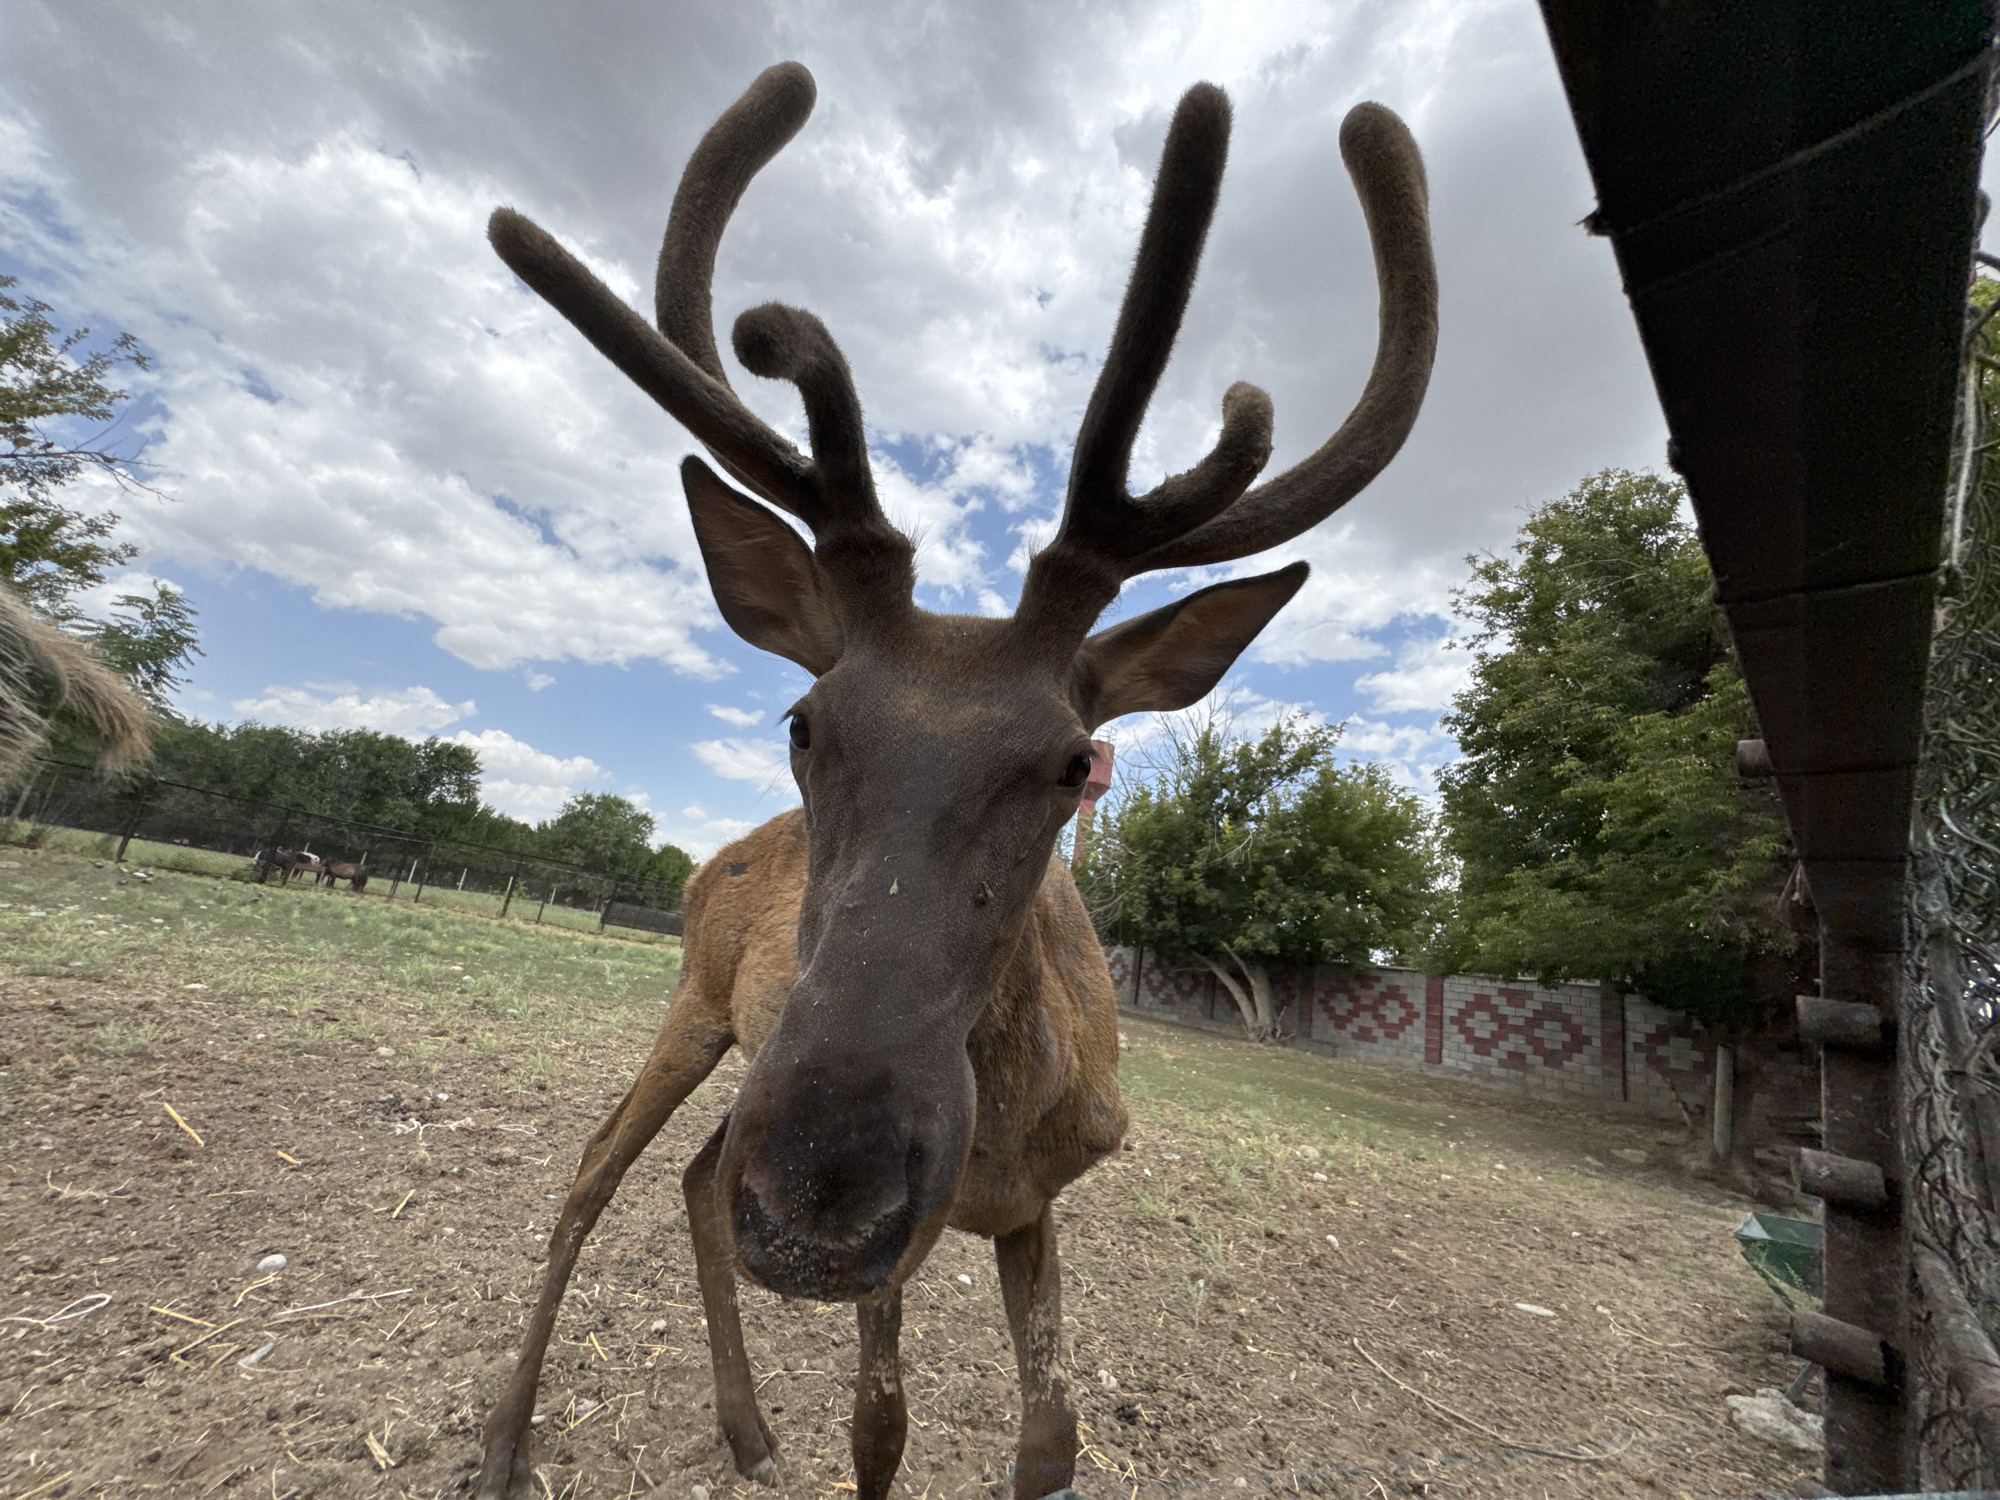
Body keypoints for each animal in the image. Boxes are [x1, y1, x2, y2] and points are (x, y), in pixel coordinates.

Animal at [474, 61, 1435, 1500]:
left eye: (1072, 758)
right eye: (803, 720)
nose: (821, 1191)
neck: (1003, 1131)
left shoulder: (1033, 1204)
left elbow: (1051, 1437)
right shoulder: (901, 1242)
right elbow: (882, 1429)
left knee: (695, 1177)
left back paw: (746, 1426)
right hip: (701, 1002)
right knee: (599, 1169)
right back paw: (504, 1437)